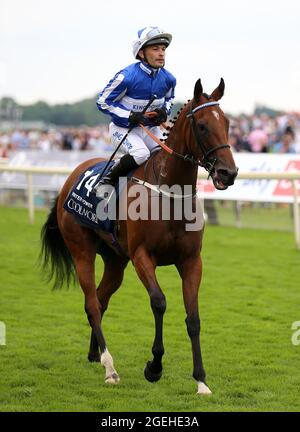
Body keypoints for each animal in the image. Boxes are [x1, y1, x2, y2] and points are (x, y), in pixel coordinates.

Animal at [39, 78, 238, 394]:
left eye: (228, 123)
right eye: (203, 125)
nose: (228, 172)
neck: (170, 193)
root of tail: (70, 179)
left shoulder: (191, 261)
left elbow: (193, 318)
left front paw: (201, 380)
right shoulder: (143, 256)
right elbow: (159, 302)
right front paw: (154, 367)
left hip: (115, 260)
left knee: (100, 300)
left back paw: (95, 354)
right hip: (81, 250)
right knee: (92, 303)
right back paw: (109, 367)